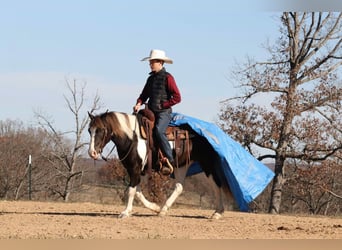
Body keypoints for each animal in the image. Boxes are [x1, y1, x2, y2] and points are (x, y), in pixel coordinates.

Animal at [87, 110, 234, 218]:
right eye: (90, 130)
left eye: (100, 130)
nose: (92, 152)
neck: (132, 138)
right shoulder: (135, 170)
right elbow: (137, 191)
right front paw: (155, 208)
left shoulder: (135, 169)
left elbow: (131, 190)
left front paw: (125, 212)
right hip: (181, 166)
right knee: (179, 187)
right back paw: (163, 210)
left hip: (207, 163)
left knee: (216, 184)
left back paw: (218, 212)